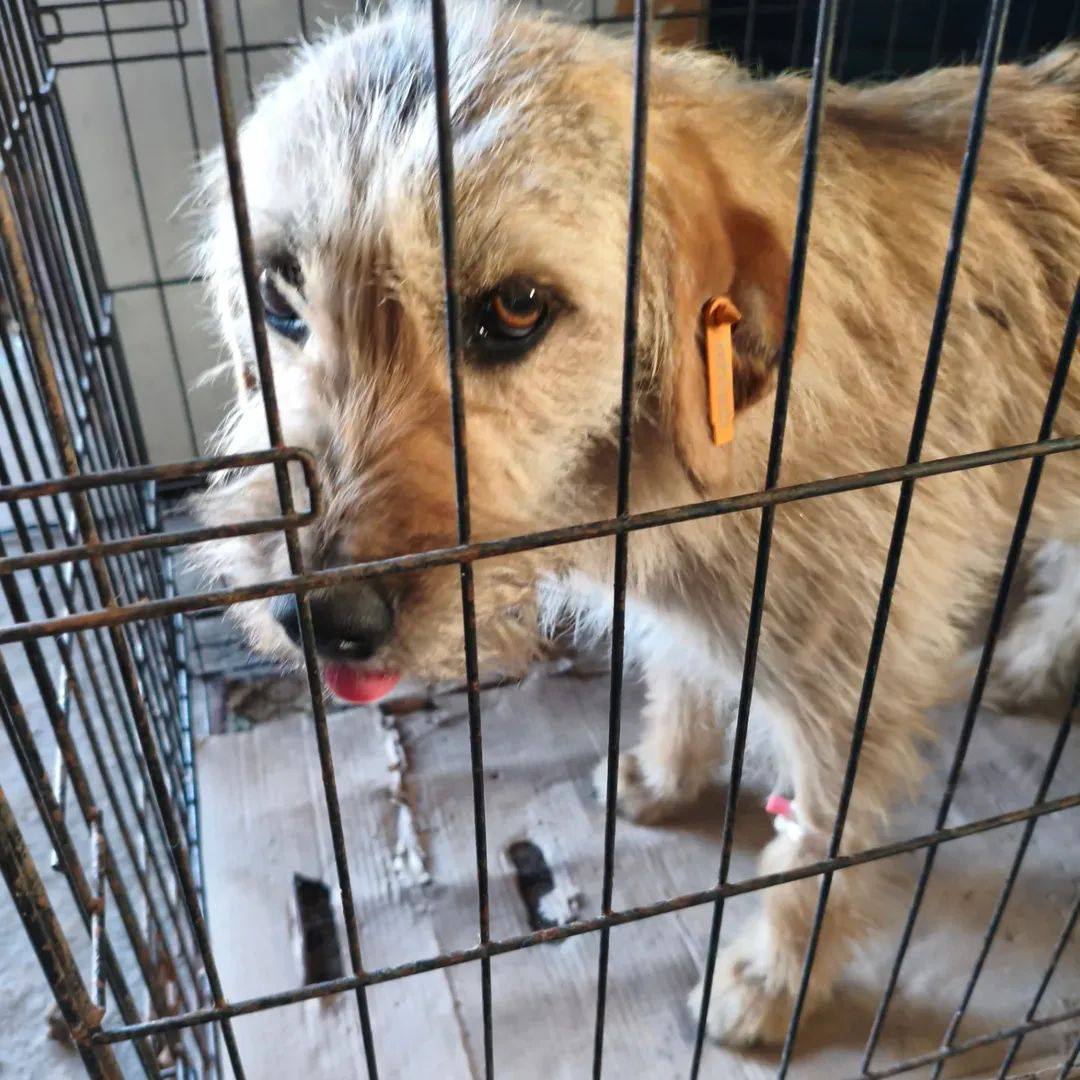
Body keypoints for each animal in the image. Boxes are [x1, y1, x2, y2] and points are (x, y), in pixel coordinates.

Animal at [193, 5, 1080, 1046]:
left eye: (516, 308)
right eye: (276, 296)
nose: (322, 619)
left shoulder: (854, 686)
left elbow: (819, 844)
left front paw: (773, 979)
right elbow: (682, 680)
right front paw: (667, 775)